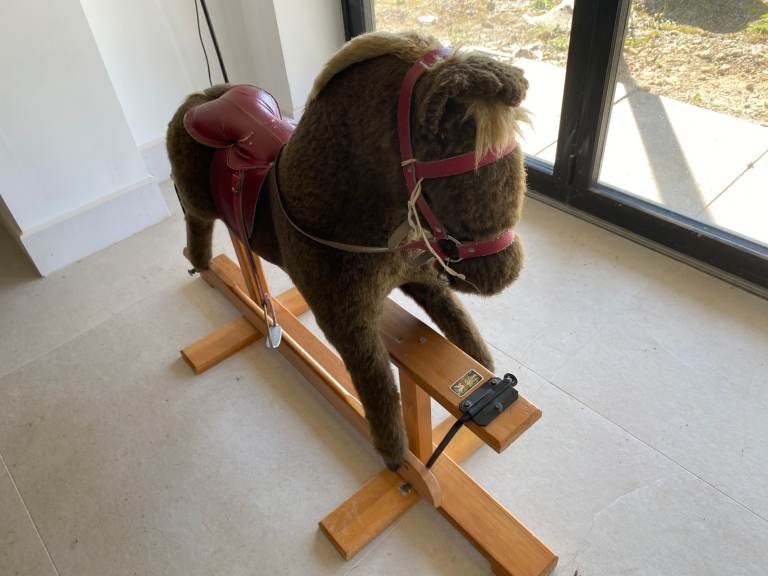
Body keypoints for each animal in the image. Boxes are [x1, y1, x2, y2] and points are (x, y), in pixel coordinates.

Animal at [166, 31, 529, 470]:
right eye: (463, 174)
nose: (503, 273)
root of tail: (199, 97)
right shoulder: (346, 321)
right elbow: (378, 386)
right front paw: (396, 459)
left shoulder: (424, 279)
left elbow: (465, 331)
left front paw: (490, 381)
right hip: (197, 204)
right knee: (196, 224)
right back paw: (199, 260)